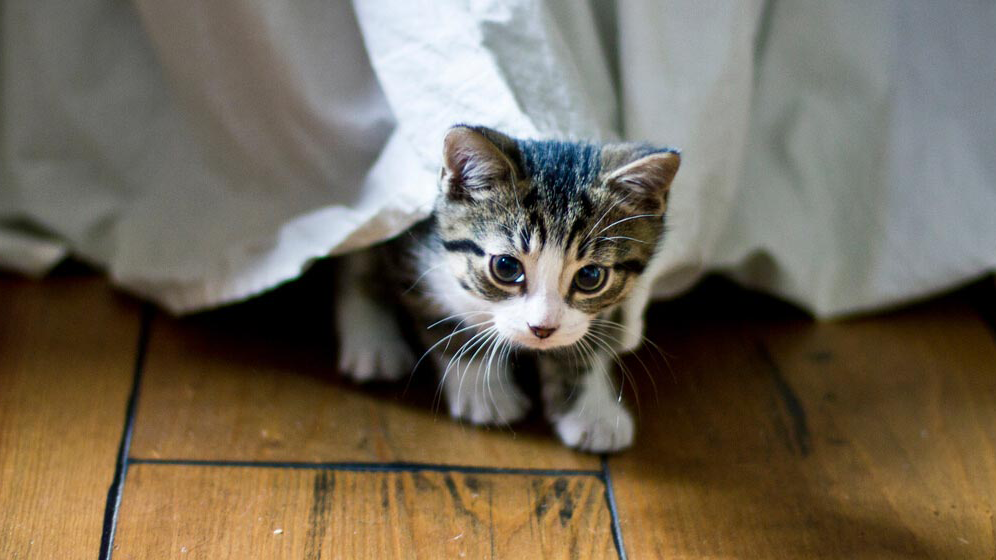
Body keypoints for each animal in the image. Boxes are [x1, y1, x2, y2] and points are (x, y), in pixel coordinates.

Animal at [334, 126, 676, 450]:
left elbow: (588, 336)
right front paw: (486, 394)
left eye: (590, 276)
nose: (542, 329)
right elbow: (446, 319)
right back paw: (372, 342)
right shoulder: (413, 244)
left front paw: (591, 411)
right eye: (506, 267)